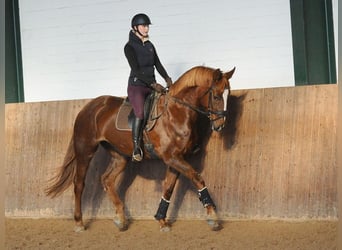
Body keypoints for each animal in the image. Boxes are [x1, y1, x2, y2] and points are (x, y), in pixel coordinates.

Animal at [45, 65, 235, 231]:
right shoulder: (172, 157)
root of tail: (88, 107)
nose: (220, 125)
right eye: (216, 96)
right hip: (85, 151)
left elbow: (168, 188)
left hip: (119, 156)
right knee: (79, 184)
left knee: (107, 180)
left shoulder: (177, 158)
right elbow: (197, 178)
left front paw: (161, 220)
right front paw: (213, 217)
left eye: (229, 94)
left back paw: (121, 219)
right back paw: (79, 223)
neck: (177, 112)